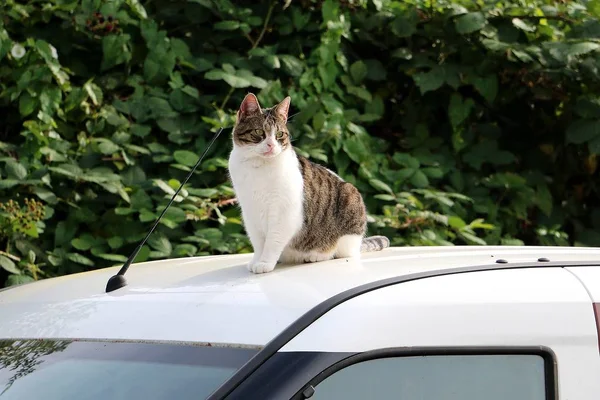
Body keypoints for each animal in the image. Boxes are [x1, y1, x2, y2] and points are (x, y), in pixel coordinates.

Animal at [226, 93, 390, 274]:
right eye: (258, 132)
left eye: (279, 135)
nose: (271, 145)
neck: (258, 167)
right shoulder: (250, 212)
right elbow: (258, 242)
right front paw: (256, 260)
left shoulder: (284, 213)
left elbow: (272, 241)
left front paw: (265, 263)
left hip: (351, 199)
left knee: (340, 252)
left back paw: (316, 255)